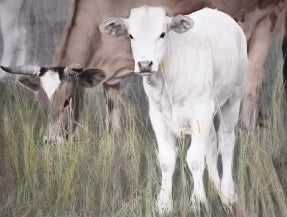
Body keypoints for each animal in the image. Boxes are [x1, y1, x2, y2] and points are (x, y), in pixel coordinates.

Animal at [100, 6, 248, 214]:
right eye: (131, 35)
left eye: (162, 34)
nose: (145, 64)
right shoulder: (157, 116)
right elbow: (166, 159)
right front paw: (163, 204)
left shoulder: (200, 112)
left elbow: (195, 159)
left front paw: (198, 202)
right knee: (211, 143)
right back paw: (216, 188)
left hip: (233, 98)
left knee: (226, 142)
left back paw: (228, 194)